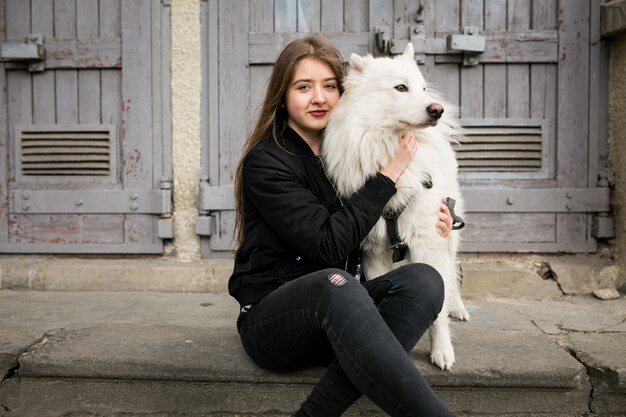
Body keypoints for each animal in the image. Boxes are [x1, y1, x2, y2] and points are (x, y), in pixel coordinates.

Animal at [322, 41, 468, 368]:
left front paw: (442, 351)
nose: (437, 110)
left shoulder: (428, 240)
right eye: (401, 88)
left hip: (450, 230)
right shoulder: (374, 251)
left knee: (452, 271)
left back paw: (459, 308)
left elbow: (438, 303)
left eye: (422, 87)